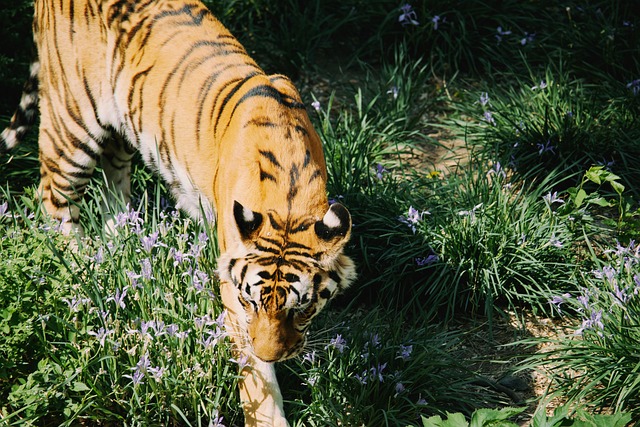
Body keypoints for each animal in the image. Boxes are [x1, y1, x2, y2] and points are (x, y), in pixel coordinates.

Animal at [0, 1, 356, 425]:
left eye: (300, 308)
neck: (286, 201)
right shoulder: (232, 288)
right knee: (54, 201)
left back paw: (119, 248)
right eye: (252, 303)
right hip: (70, 124)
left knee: (113, 193)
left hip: (121, 133)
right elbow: (255, 376)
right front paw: (267, 411)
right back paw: (81, 271)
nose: (270, 352)